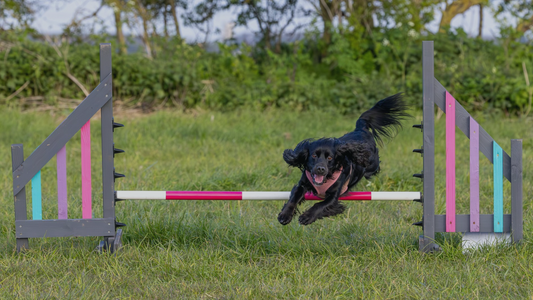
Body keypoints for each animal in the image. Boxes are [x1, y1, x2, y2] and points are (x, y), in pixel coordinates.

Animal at [278, 94, 408, 225]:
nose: (320, 169)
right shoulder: (303, 184)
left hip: (372, 165)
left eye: (330, 158)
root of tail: (361, 129)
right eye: (314, 156)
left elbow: (320, 205)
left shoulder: (334, 195)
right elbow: (294, 197)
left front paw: (307, 216)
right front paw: (285, 215)